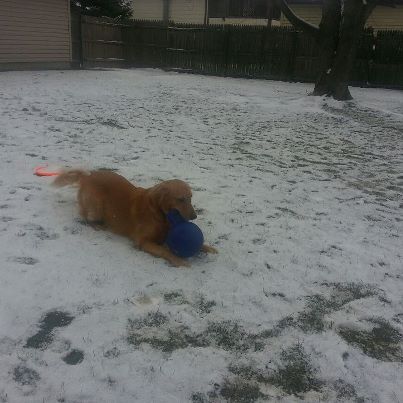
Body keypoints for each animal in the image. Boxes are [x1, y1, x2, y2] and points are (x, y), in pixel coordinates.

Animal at [54, 169, 218, 266]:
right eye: (180, 199)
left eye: (190, 198)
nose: (195, 216)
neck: (158, 213)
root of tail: (87, 176)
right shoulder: (142, 241)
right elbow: (164, 250)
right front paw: (178, 260)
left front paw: (208, 248)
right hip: (96, 206)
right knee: (85, 217)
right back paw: (99, 225)